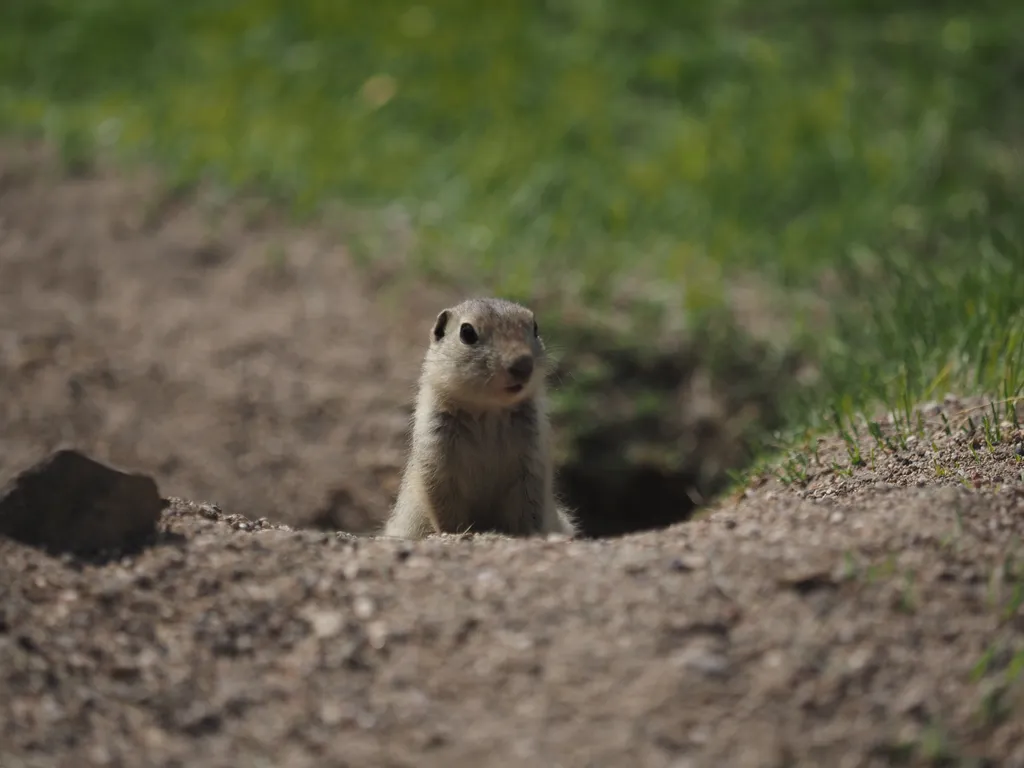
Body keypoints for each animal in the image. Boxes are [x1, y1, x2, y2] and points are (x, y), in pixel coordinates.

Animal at [382, 296, 577, 536]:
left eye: (535, 327)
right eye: (467, 332)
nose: (523, 365)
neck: (488, 410)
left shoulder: (533, 457)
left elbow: (529, 504)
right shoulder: (435, 448)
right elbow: (442, 502)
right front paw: (458, 533)